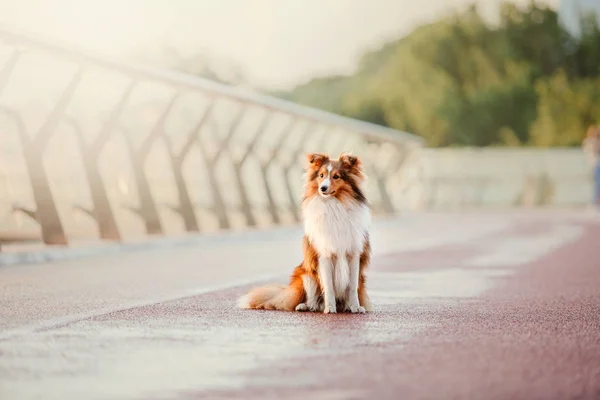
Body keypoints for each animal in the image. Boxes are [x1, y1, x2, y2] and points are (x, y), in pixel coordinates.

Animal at [237, 152, 372, 312]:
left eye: (336, 176)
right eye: (321, 175)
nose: (323, 188)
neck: (334, 205)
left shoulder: (354, 254)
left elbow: (352, 287)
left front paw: (355, 307)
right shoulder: (324, 255)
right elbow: (329, 286)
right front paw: (330, 308)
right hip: (306, 276)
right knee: (312, 301)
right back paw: (305, 306)